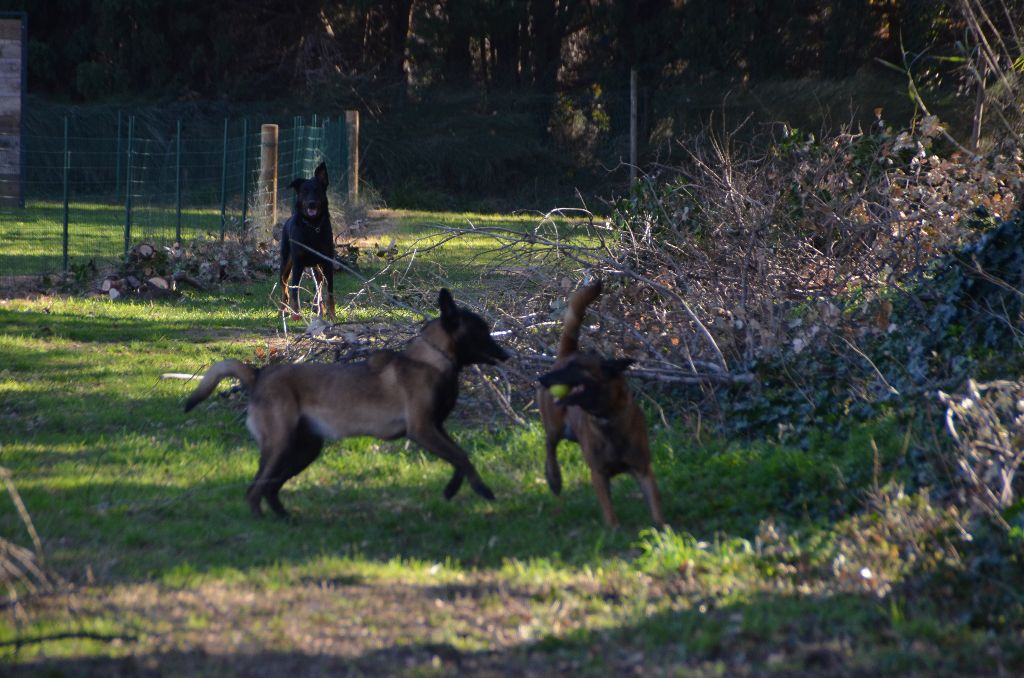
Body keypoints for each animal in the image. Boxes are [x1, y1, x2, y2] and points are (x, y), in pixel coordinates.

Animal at [280, 164, 335, 323]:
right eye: (304, 190)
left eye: (317, 190)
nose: (311, 203)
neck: (312, 225)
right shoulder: (298, 263)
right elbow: (294, 291)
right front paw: (296, 314)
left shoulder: (327, 262)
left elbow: (330, 292)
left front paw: (332, 315)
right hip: (285, 262)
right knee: (284, 287)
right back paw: (283, 311)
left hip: (317, 267)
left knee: (320, 287)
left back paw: (320, 311)